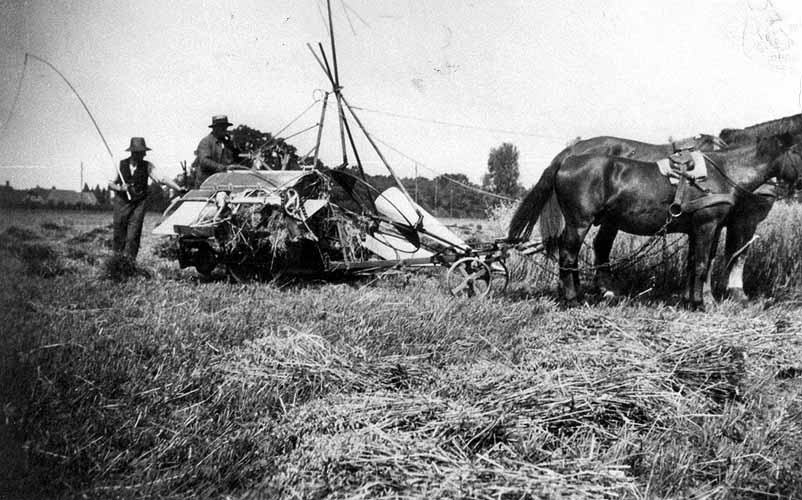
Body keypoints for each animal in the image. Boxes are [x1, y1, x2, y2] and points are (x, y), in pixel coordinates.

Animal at [506, 131, 800, 306]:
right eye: (798, 151)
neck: (723, 171)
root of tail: (567, 159)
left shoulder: (705, 228)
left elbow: (697, 262)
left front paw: (691, 299)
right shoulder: (709, 225)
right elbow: (704, 263)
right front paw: (706, 302)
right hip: (579, 222)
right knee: (569, 255)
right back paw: (573, 298)